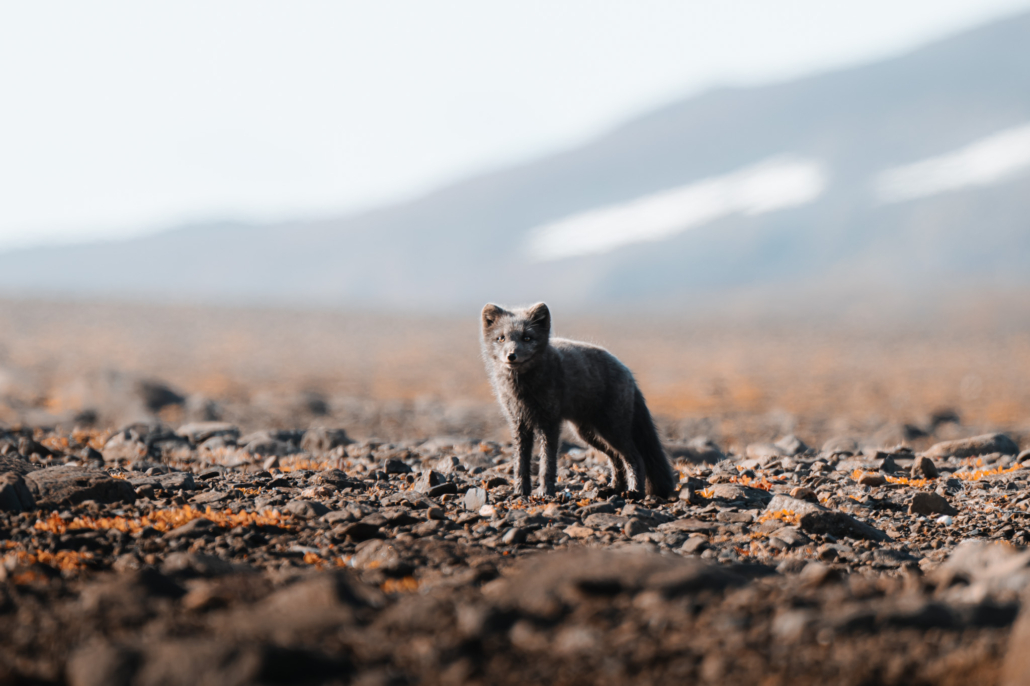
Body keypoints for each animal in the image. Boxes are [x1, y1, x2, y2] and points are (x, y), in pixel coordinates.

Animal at [480, 302, 678, 499]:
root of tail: (627, 371)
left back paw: (635, 492)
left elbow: (547, 464)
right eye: (501, 339)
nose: (511, 356)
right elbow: (520, 464)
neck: (522, 389)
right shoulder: (519, 424)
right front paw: (520, 492)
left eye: (527, 338)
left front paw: (545, 492)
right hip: (588, 433)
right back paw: (613, 489)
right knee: (616, 458)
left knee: (635, 457)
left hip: (612, 429)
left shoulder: (549, 423)